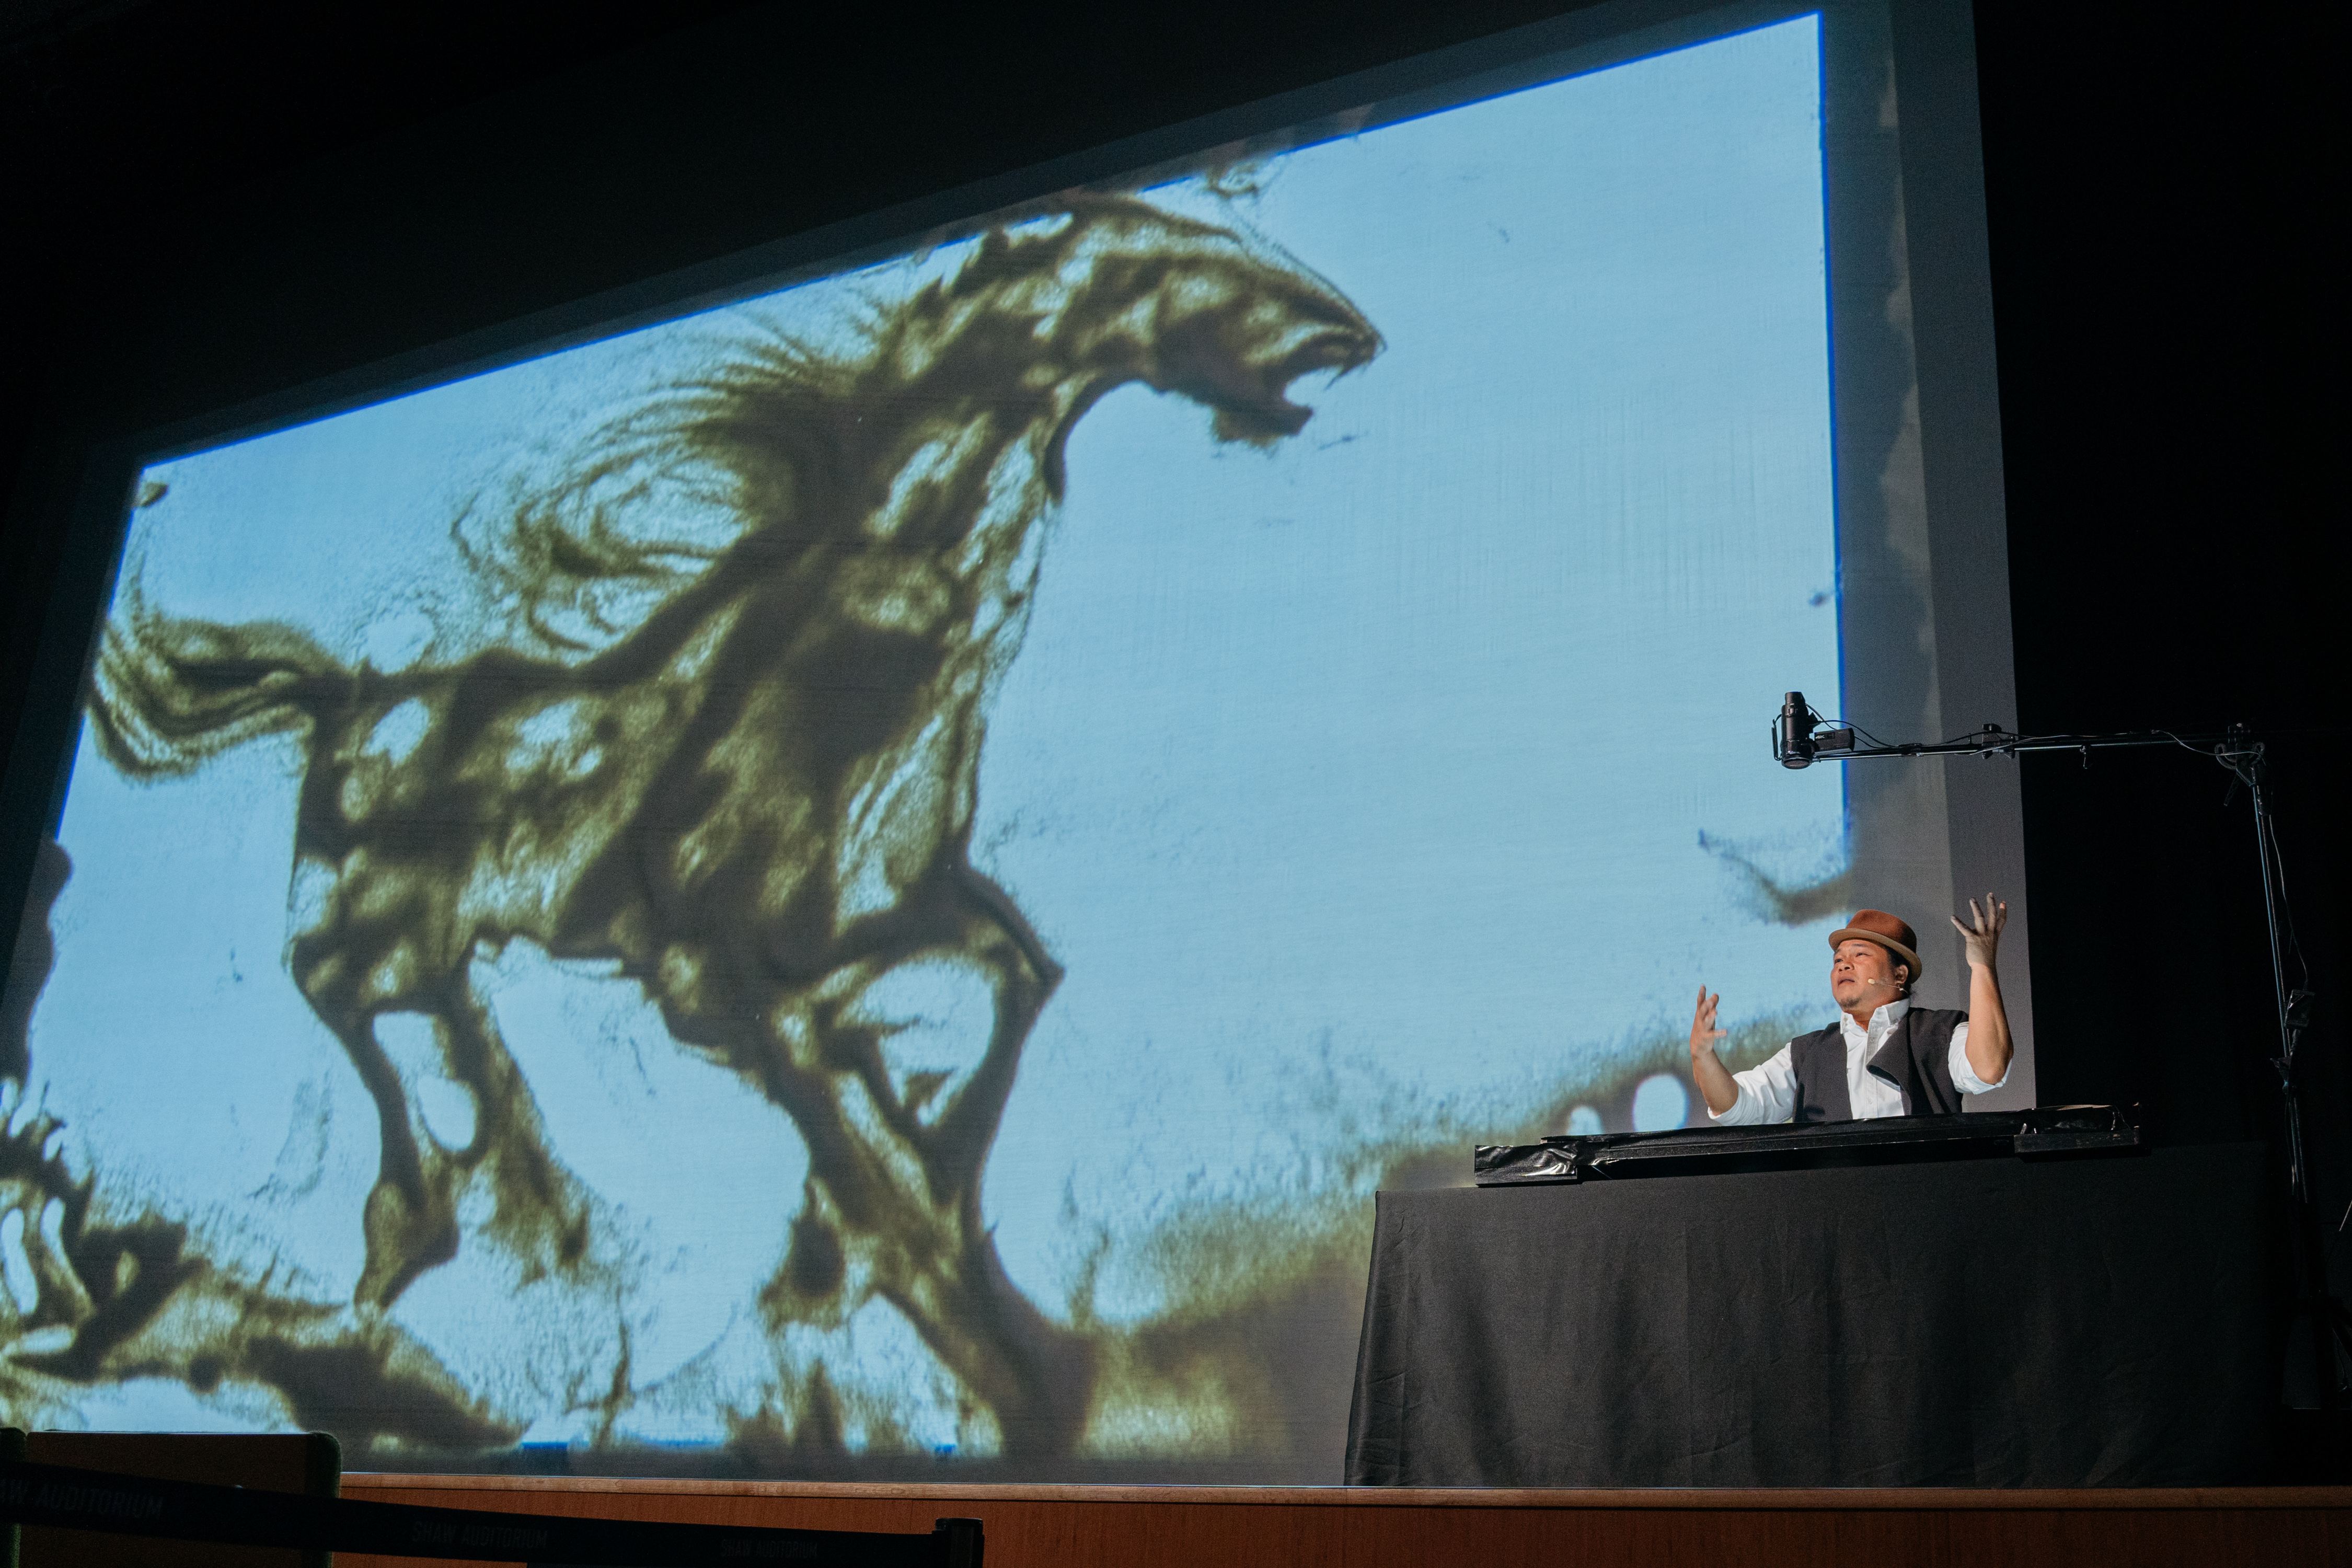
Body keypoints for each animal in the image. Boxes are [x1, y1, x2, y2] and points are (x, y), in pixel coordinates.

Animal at [87, 196, 1374, 1457]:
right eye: (1161, 263)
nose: (1346, 332)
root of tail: (348, 707)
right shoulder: (726, 982)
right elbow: (878, 1160)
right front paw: (933, 1326)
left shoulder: (889, 924)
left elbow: (1011, 988)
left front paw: (915, 1291)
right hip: (382, 945)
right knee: (370, 1034)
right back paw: (439, 1243)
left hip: (433, 952)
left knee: (445, 1055)